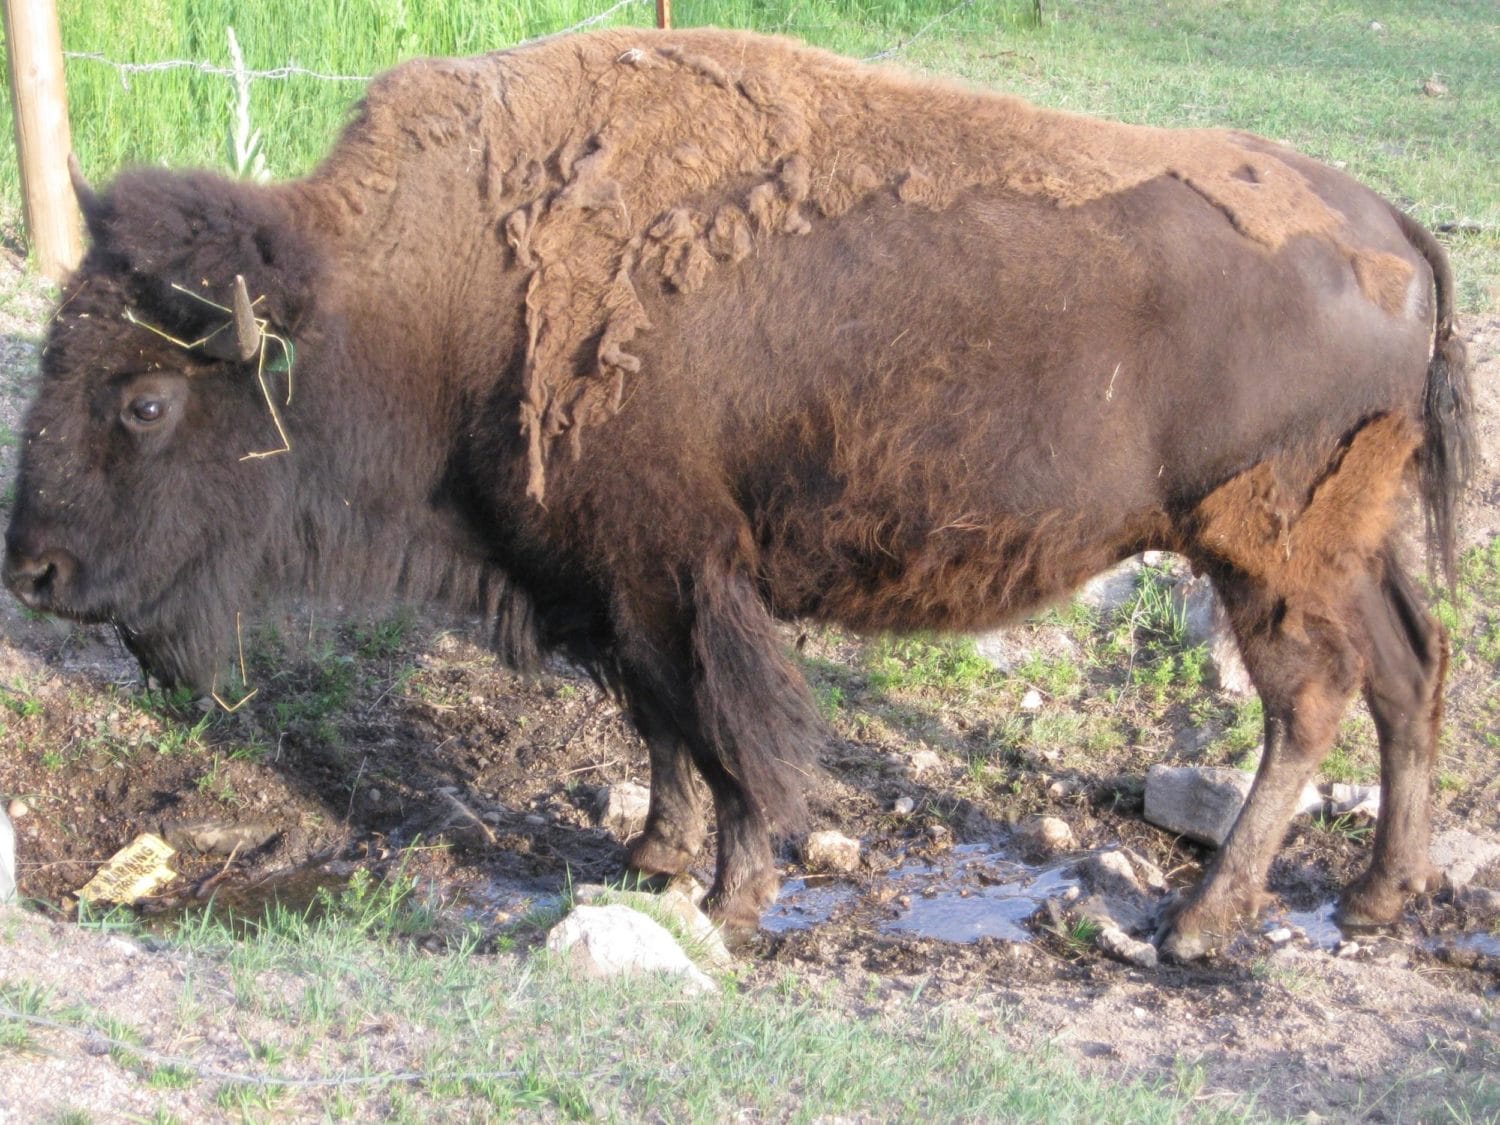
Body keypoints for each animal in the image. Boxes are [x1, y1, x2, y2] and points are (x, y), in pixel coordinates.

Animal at [3, 29, 1472, 959]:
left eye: (145, 399)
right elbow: (657, 726)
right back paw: (1378, 899)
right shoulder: (600, 579)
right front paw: (651, 860)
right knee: (1412, 669)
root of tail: (1393, 226)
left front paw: (730, 894)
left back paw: (1202, 922)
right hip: (1350, 544)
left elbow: (726, 729)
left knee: (1313, 700)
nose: (35, 573)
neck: (423, 289)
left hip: (1263, 550)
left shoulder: (676, 575)